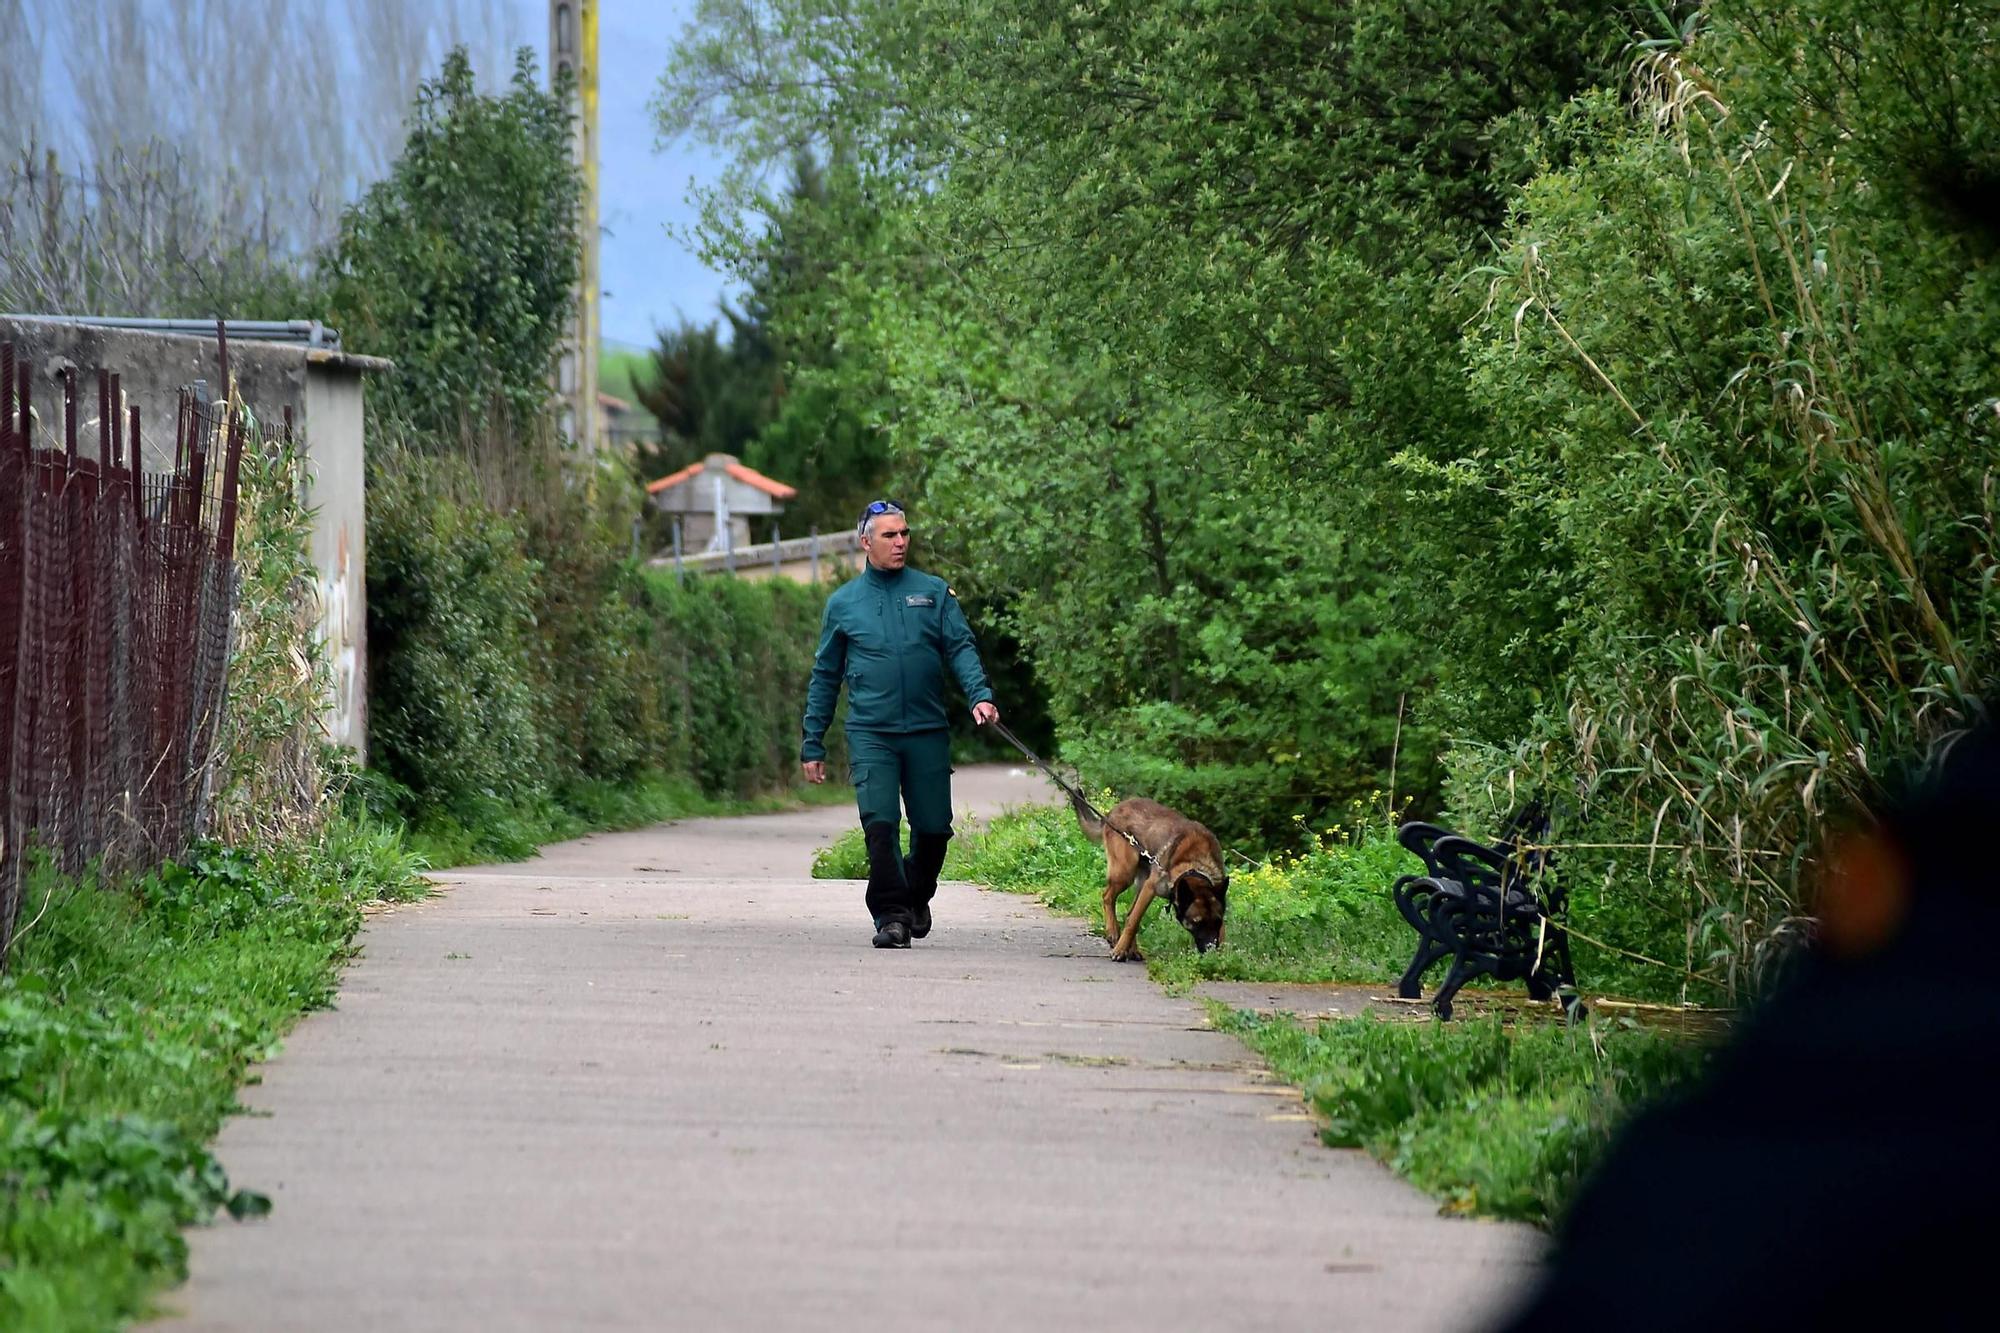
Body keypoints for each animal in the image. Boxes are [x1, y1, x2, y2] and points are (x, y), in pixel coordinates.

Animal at [1072, 784, 1224, 960]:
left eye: (1217, 921)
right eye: (1196, 922)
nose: (1211, 950)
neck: (1195, 865)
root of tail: (1112, 812)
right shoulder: (1150, 888)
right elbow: (1133, 922)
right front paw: (1119, 950)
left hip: (1139, 881)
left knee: (1127, 912)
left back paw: (1132, 950)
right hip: (1125, 873)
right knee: (1108, 897)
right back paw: (1113, 933)